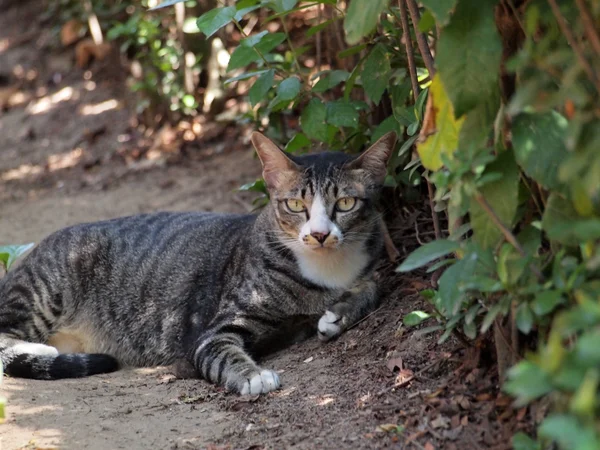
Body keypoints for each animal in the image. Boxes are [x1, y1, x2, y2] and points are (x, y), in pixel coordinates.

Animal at [1, 132, 398, 396]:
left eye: (345, 204)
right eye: (296, 206)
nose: (319, 234)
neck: (324, 270)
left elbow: (374, 285)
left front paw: (340, 313)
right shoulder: (214, 330)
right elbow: (221, 351)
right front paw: (254, 376)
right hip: (45, 288)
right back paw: (41, 350)